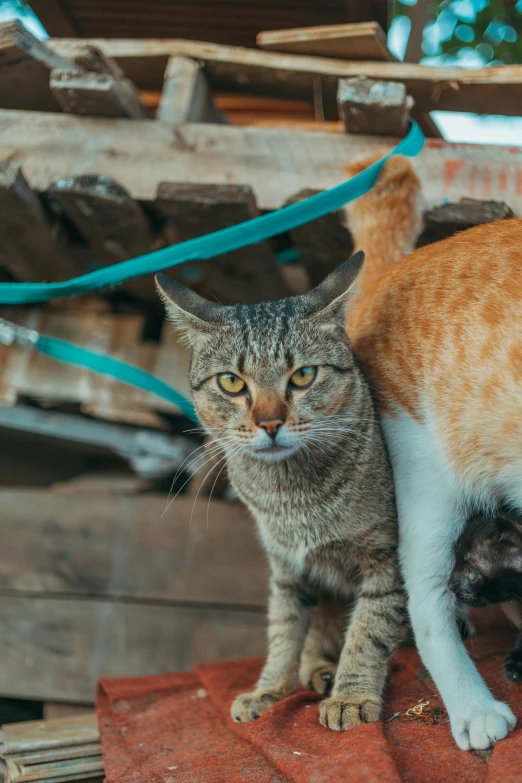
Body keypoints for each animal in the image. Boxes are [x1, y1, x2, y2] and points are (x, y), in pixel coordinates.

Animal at [156, 250, 408, 728]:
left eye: (304, 375)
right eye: (231, 382)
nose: (269, 423)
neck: (292, 496)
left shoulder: (389, 560)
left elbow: (370, 628)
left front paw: (351, 696)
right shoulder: (287, 566)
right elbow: (285, 631)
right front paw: (271, 688)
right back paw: (319, 670)